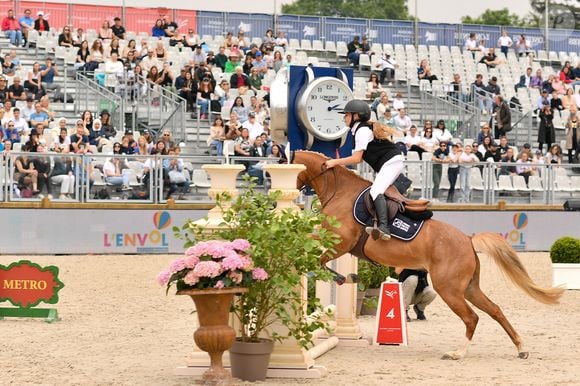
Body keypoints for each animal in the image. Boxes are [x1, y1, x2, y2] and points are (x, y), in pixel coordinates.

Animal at [292, 150, 564, 358]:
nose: (294, 193)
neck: (339, 190)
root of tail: (468, 240)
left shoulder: (341, 243)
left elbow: (318, 257)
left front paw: (343, 277)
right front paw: (345, 277)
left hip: (449, 289)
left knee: (472, 318)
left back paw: (458, 353)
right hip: (469, 288)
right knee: (494, 310)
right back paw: (520, 348)